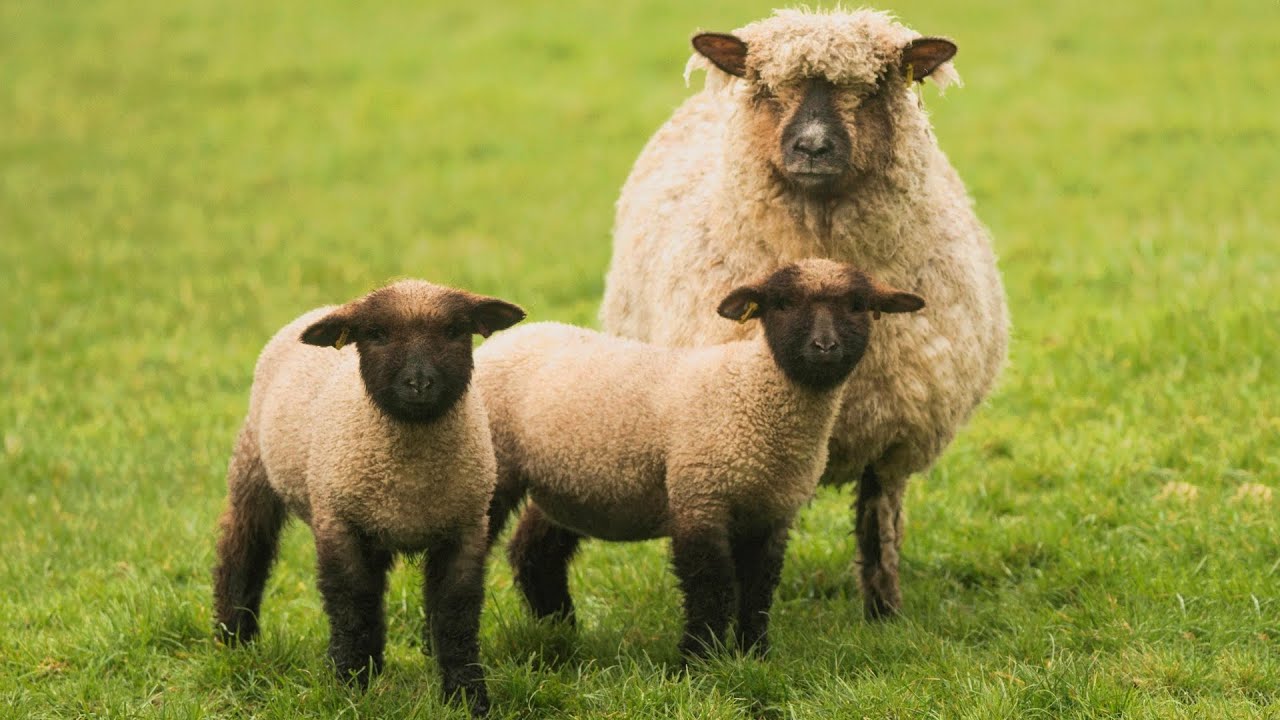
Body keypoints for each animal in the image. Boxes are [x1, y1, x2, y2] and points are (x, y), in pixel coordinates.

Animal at [212, 279, 525, 716]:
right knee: (243, 551)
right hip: (253, 472)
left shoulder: (465, 529)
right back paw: (234, 639)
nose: (419, 383)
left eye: (454, 331)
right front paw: (347, 686)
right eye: (376, 334)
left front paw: (467, 697)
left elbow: (455, 615)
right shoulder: (338, 523)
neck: (410, 479)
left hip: (374, 524)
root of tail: (325, 308)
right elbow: (350, 607)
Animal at [477, 260, 925, 658]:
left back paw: (560, 630)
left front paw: (753, 654)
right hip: (498, 469)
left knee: (535, 551)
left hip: (566, 484)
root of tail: (508, 338)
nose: (825, 347)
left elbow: (759, 588)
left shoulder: (771, 512)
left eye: (857, 305)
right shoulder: (700, 498)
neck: (753, 389)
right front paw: (699, 660)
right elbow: (711, 588)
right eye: (781, 304)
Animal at [600, 8, 1009, 620]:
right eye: (768, 87)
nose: (813, 146)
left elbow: (879, 530)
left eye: (872, 87)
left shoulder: (892, 438)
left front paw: (885, 616)